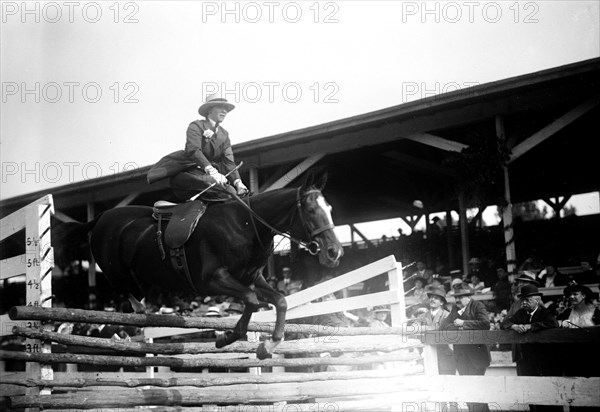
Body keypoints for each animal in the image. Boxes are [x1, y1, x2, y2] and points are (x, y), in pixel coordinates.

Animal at [62, 175, 342, 358]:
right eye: (310, 210)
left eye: (330, 208)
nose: (334, 251)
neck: (247, 224)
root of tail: (100, 217)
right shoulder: (212, 280)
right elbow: (251, 300)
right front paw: (225, 338)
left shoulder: (252, 278)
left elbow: (280, 301)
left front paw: (267, 346)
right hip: (116, 271)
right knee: (125, 296)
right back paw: (135, 317)